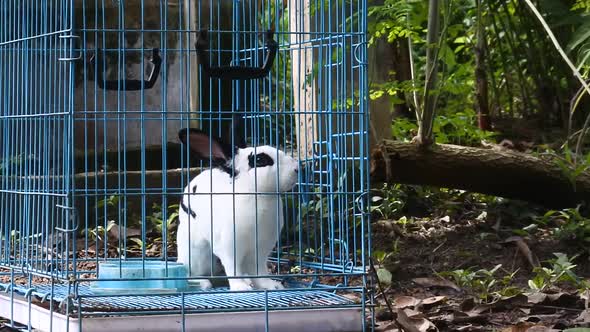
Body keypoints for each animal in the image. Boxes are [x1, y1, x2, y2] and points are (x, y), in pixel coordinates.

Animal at [176, 118, 300, 290]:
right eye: (260, 160)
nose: (297, 169)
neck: (257, 195)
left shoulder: (260, 250)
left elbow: (259, 270)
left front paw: (270, 285)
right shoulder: (229, 247)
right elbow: (232, 268)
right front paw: (240, 287)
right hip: (195, 251)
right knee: (190, 271)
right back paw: (203, 283)